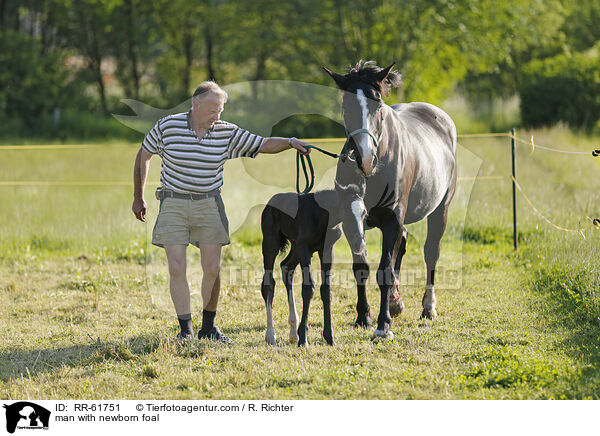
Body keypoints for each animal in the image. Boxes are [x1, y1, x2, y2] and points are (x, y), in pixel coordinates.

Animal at [262, 189, 342, 346]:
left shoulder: (327, 249)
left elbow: (326, 289)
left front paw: (329, 337)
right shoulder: (304, 247)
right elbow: (308, 288)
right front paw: (304, 339)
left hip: (295, 246)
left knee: (286, 267)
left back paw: (293, 331)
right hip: (271, 243)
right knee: (268, 283)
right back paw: (271, 335)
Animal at [326, 61, 458, 338]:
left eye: (377, 105)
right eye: (346, 105)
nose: (365, 158)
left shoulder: (392, 220)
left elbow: (384, 270)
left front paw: (382, 325)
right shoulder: (351, 218)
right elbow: (361, 268)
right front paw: (363, 318)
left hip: (441, 209)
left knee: (431, 252)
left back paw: (428, 308)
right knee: (404, 242)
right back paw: (396, 302)